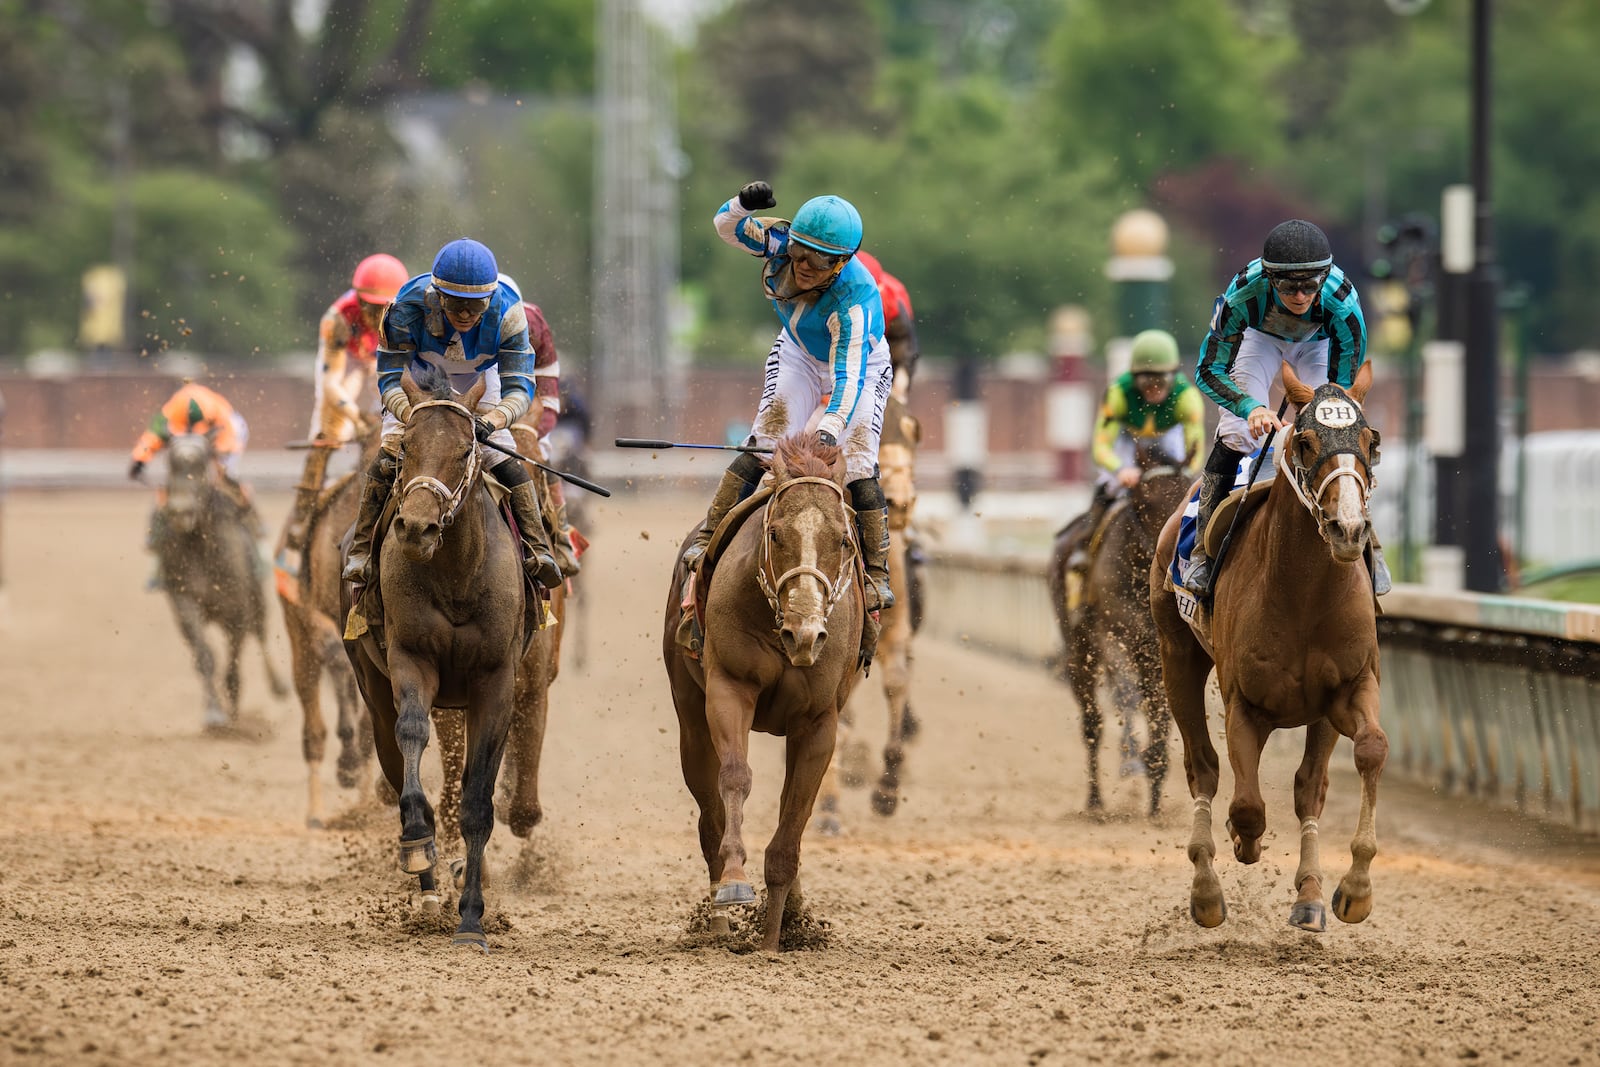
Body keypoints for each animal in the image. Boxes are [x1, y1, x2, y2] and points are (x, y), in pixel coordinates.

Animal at [154, 431, 286, 726]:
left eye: (202, 464)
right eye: (170, 463)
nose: (180, 511)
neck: (202, 548)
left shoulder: (238, 608)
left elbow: (235, 655)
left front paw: (233, 702)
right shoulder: (184, 600)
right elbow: (204, 655)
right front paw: (214, 713)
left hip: (258, 601)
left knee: (261, 634)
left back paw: (279, 685)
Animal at [344, 369, 524, 953]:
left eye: (467, 448)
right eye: (406, 449)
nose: (416, 528)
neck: (457, 575)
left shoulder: (496, 683)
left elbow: (478, 803)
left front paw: (471, 919)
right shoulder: (412, 659)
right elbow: (412, 737)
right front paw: (420, 843)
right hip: (372, 687)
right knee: (394, 753)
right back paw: (425, 889)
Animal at [662, 435, 864, 953]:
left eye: (843, 539)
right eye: (775, 534)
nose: (805, 634)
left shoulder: (818, 723)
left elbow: (794, 817)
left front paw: (775, 937)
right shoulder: (729, 689)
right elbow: (735, 778)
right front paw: (735, 883)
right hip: (690, 718)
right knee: (709, 814)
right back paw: (717, 921)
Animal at [1043, 438, 1196, 812]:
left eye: (1187, 495)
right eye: (1145, 500)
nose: (1170, 555)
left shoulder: (1160, 651)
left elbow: (1162, 711)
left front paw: (1155, 780)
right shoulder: (1114, 636)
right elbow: (1126, 696)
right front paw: (1133, 759)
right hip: (1078, 653)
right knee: (1092, 724)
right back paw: (1096, 800)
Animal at [1152, 363, 1388, 927]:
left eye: (1371, 441)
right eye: (1304, 441)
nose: (1349, 529)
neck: (1303, 592)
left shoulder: (1350, 687)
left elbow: (1369, 750)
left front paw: (1354, 888)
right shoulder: (1245, 702)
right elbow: (1246, 805)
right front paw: (1241, 844)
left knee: (1308, 787)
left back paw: (1309, 895)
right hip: (1177, 657)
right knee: (1203, 768)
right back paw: (1207, 890)